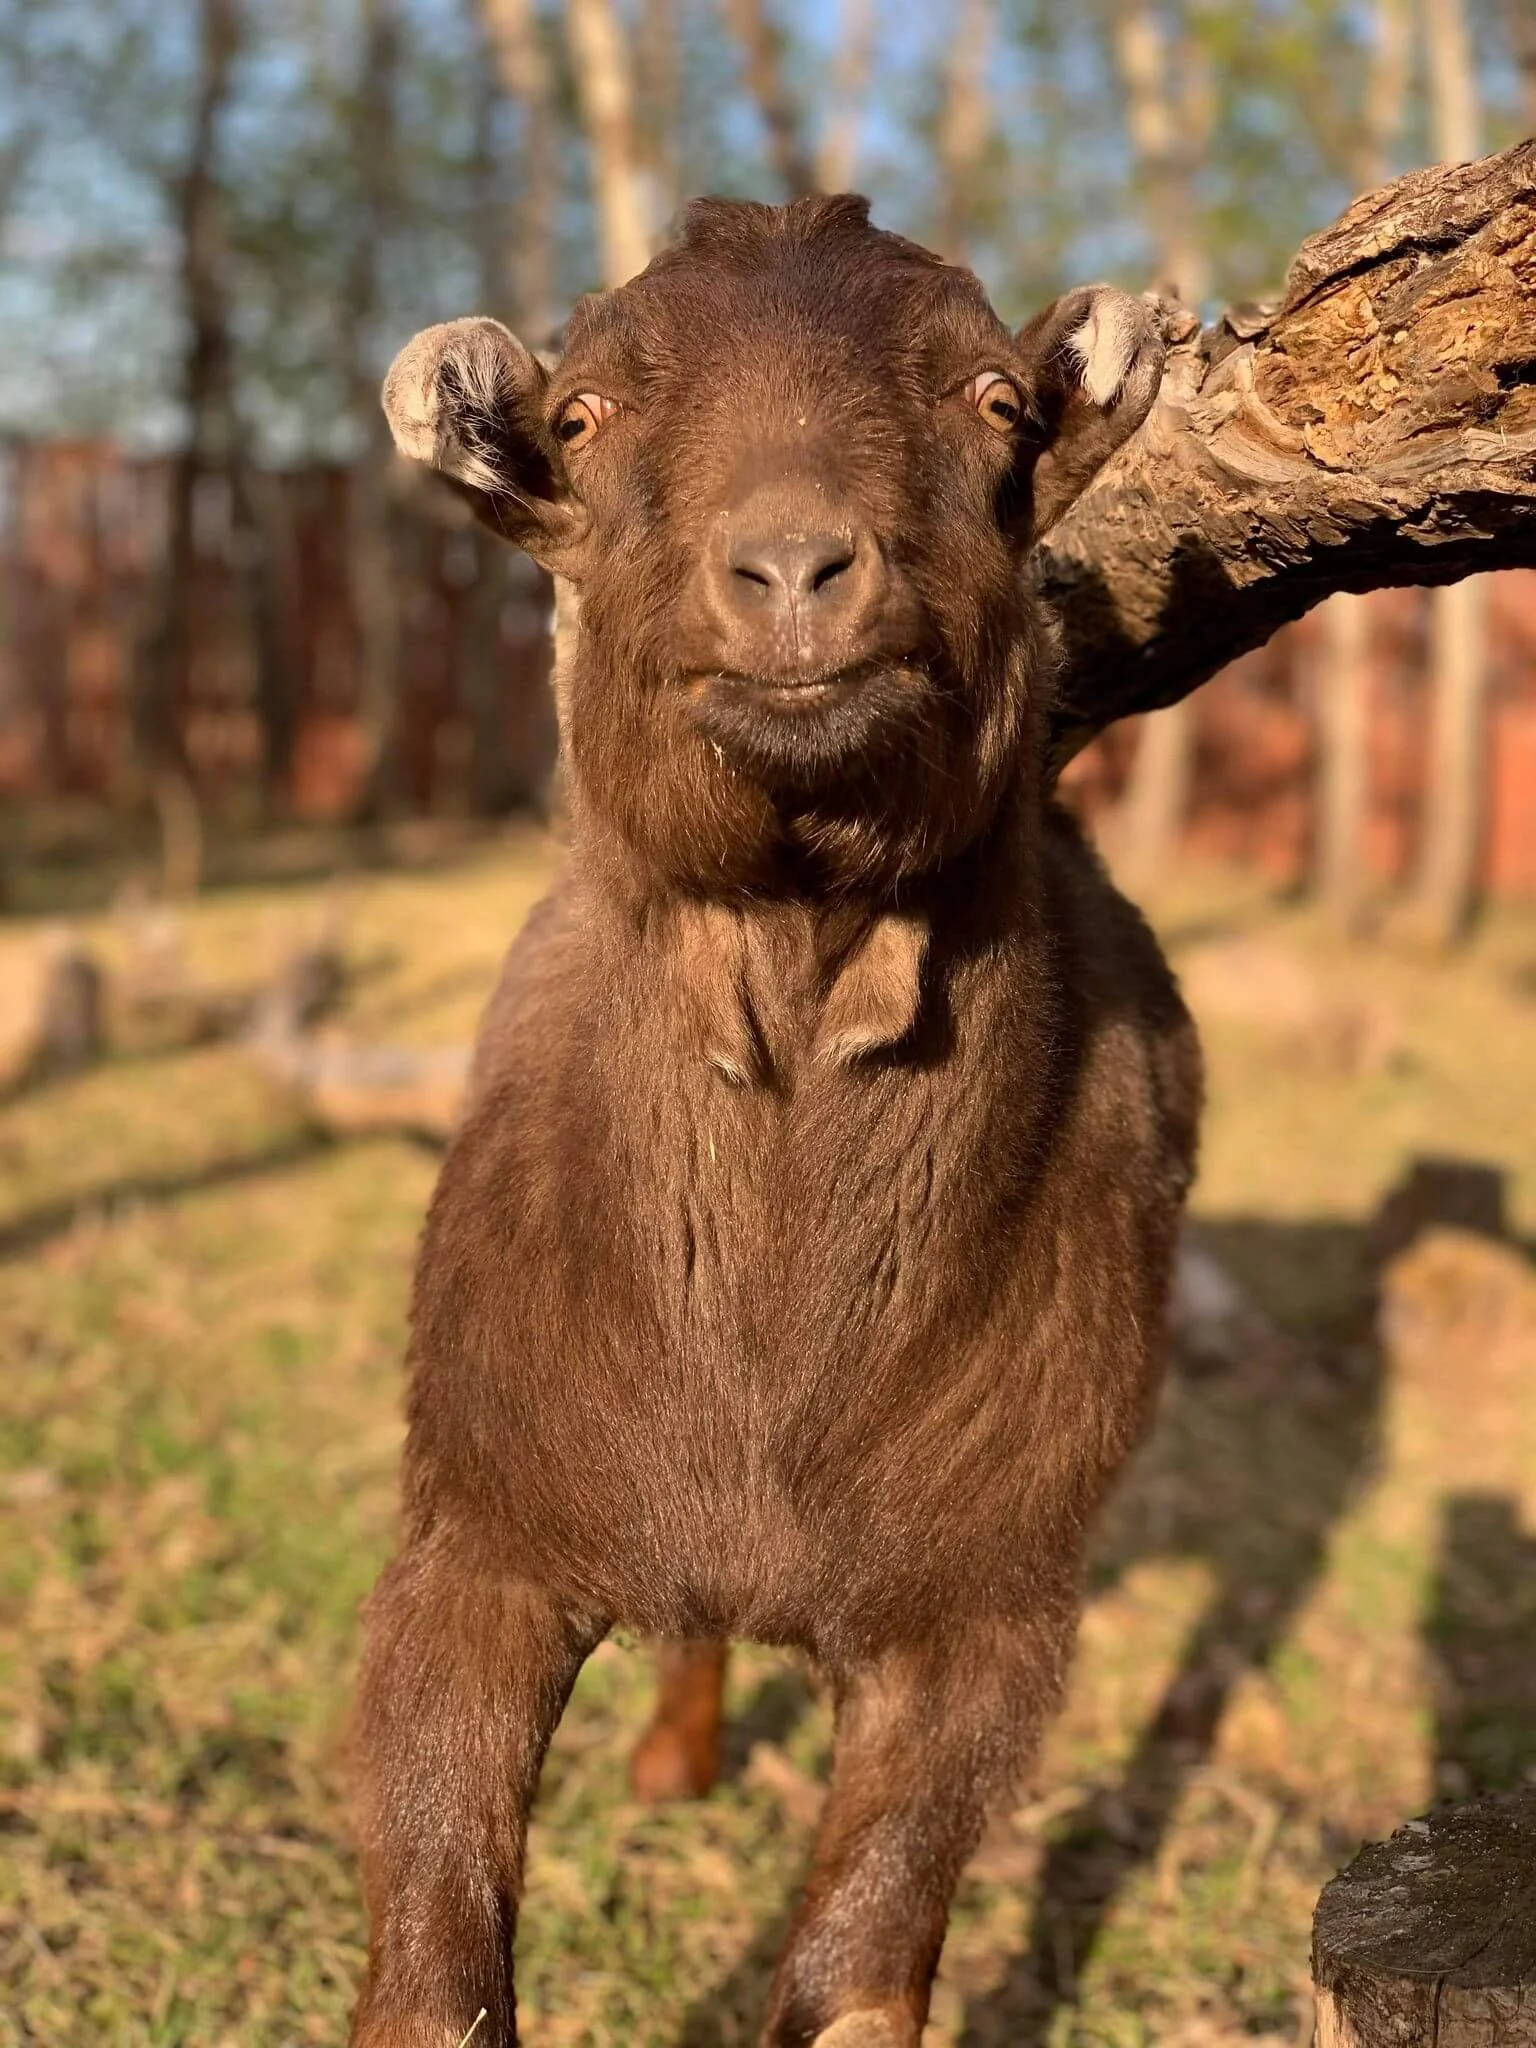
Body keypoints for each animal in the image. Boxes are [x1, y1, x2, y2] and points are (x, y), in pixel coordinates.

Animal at [351, 194, 1201, 2048]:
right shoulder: (478, 1537)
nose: (798, 573)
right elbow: (434, 1966)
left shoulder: (983, 1613)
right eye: (583, 415)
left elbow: (856, 1974)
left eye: (996, 402)